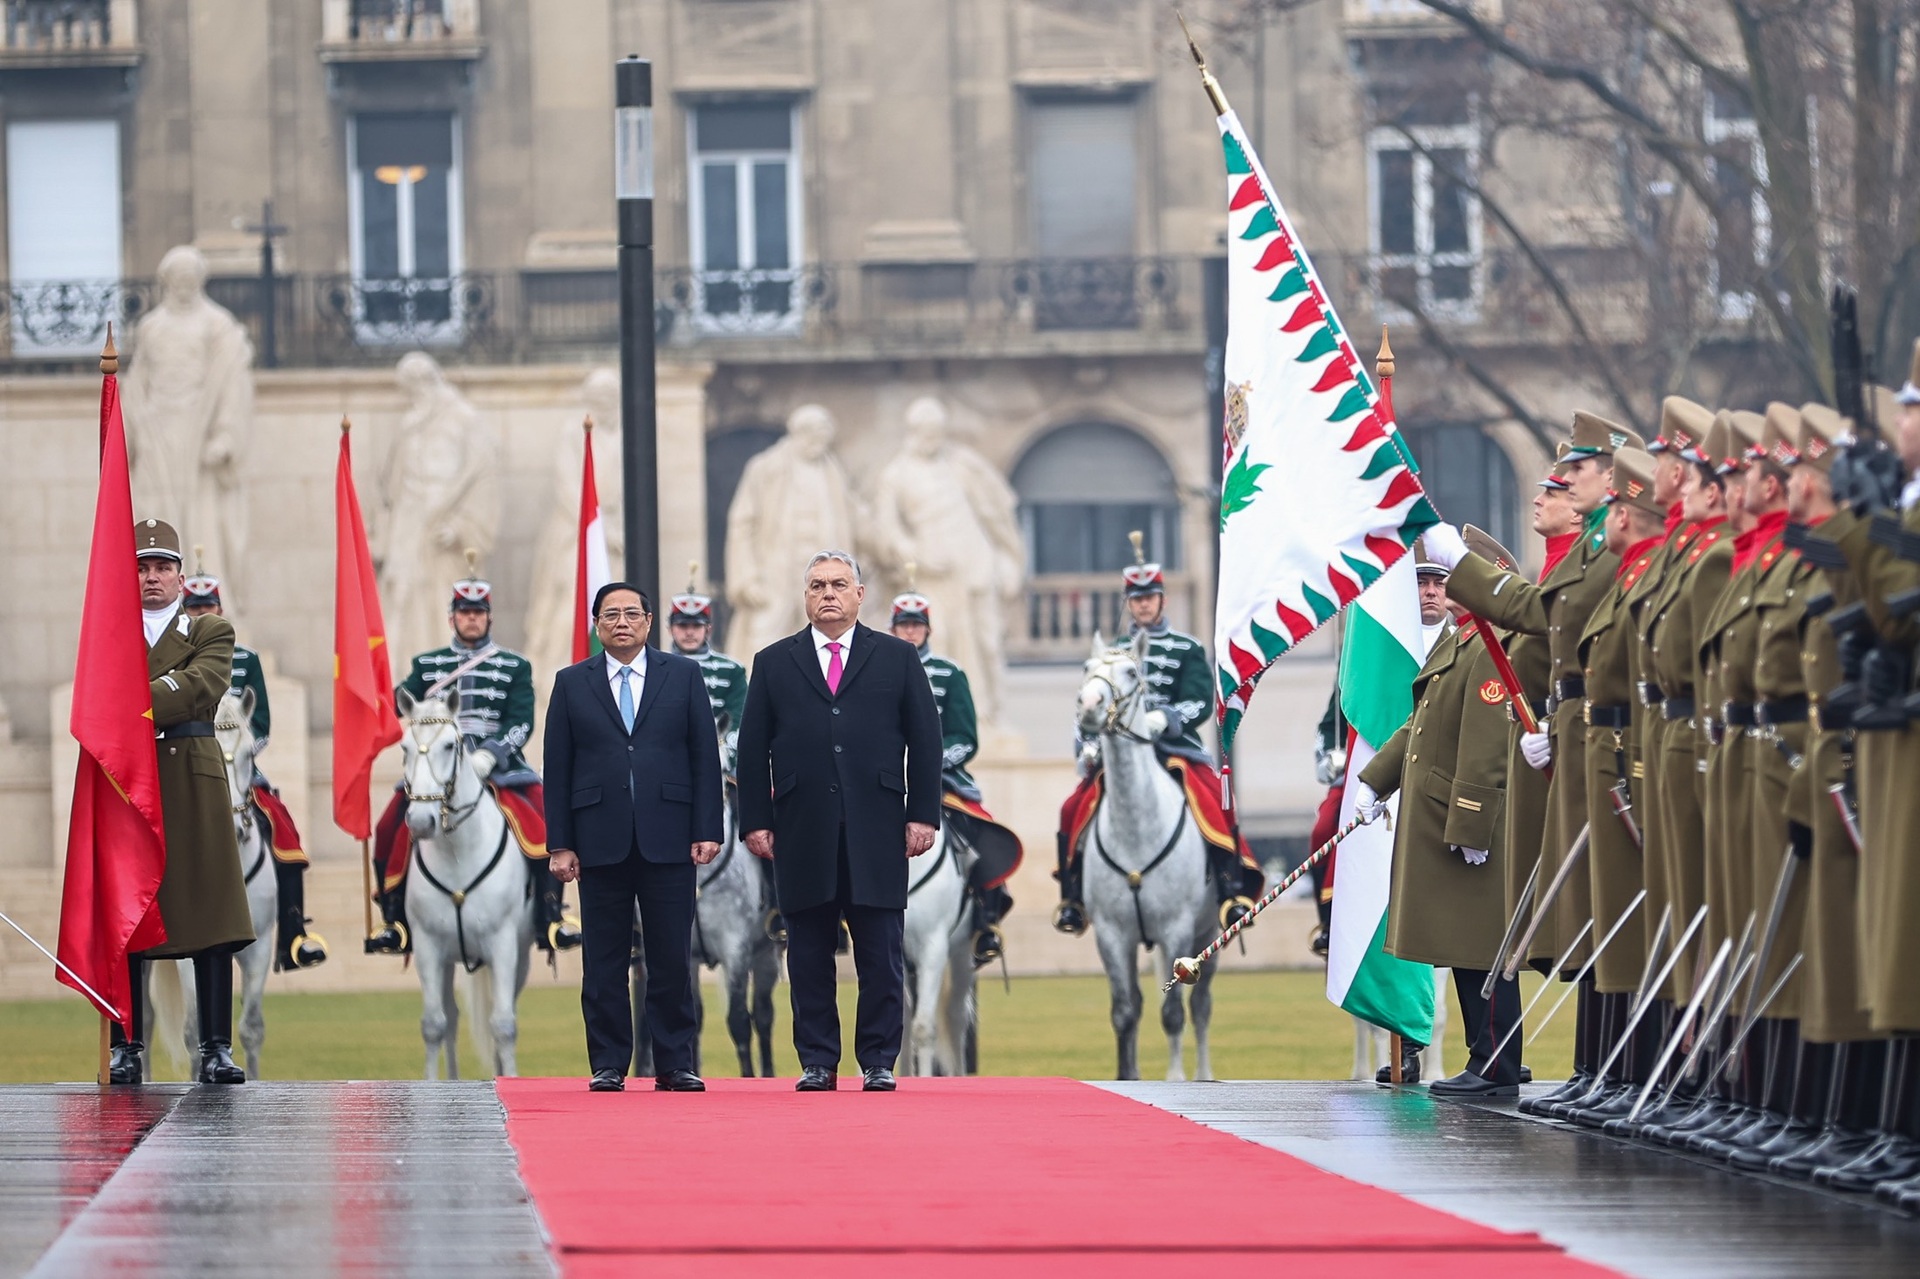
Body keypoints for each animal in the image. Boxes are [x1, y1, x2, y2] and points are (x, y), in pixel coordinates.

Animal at [395, 687, 533, 1075]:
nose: (421, 821)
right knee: (451, 1019)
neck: (458, 853)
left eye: (449, 745)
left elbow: (503, 1026)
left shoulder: (503, 945)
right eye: (404, 747)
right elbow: (433, 1025)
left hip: (519, 957)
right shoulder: (428, 947)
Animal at [1082, 626, 1213, 1075]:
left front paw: (1175, 1079)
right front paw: (1128, 1076)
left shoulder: (1178, 928)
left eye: (1130, 672)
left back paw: (1202, 1075)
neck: (1136, 828)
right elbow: (1125, 1013)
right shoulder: (1110, 934)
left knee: (1200, 1006)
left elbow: (1173, 1014)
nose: (1088, 706)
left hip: (1208, 932)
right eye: (1086, 667)